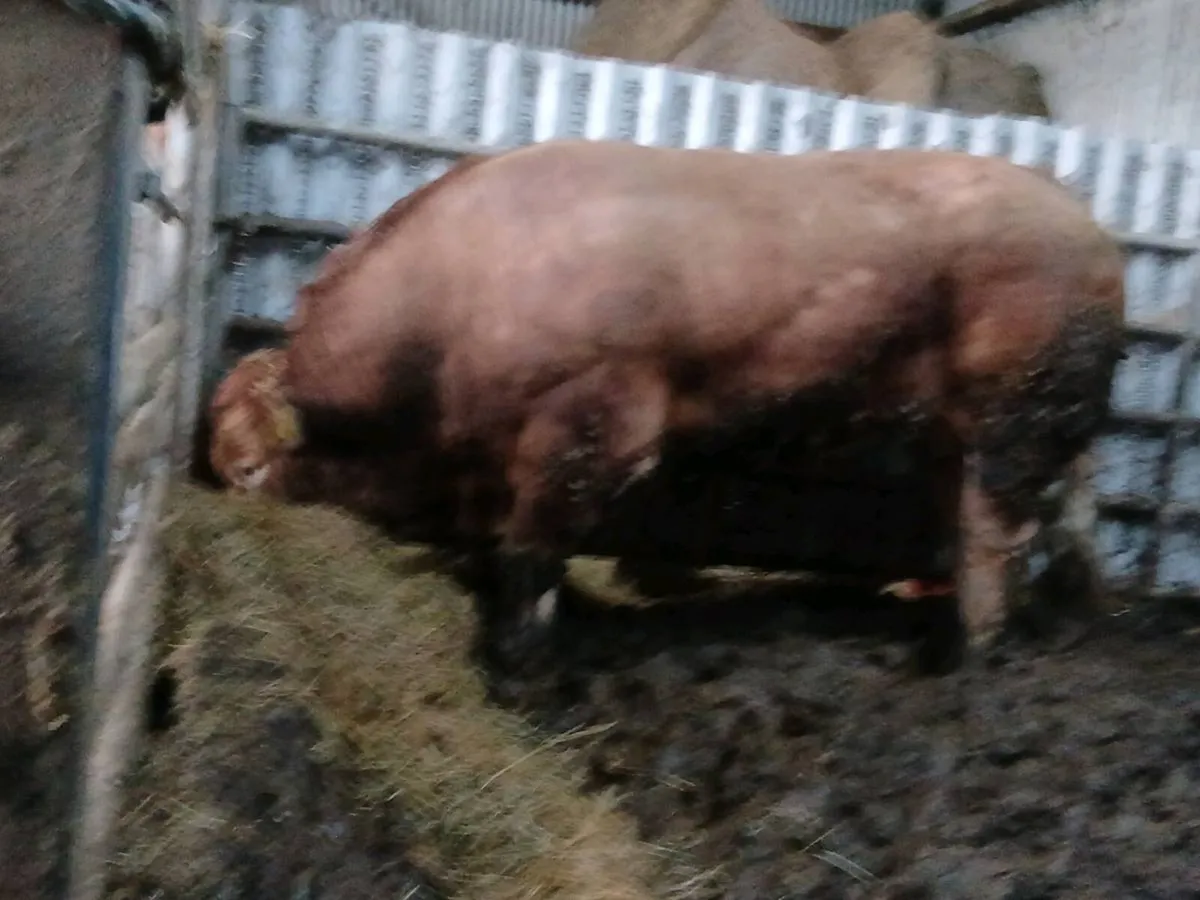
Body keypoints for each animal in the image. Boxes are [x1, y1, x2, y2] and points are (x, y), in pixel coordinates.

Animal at [208, 139, 1126, 668]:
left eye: (249, 468)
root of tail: (1080, 218)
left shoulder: (592, 425)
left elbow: (533, 550)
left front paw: (519, 663)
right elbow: (500, 539)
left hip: (1010, 418)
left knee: (993, 535)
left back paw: (964, 654)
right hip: (1035, 421)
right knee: (1071, 507)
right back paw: (1072, 616)